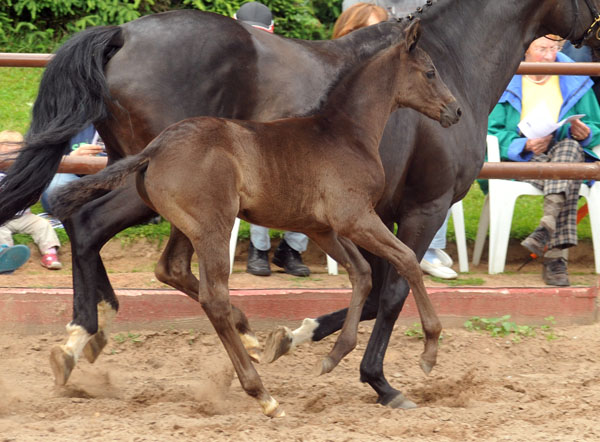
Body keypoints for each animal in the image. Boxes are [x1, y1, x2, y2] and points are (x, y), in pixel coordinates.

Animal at [52, 20, 460, 418]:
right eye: (430, 72)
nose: (454, 111)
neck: (345, 133)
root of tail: (155, 148)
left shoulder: (323, 228)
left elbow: (362, 274)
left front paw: (332, 355)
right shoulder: (356, 218)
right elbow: (406, 261)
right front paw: (429, 350)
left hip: (188, 225)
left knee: (171, 268)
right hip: (215, 228)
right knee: (213, 297)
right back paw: (262, 393)